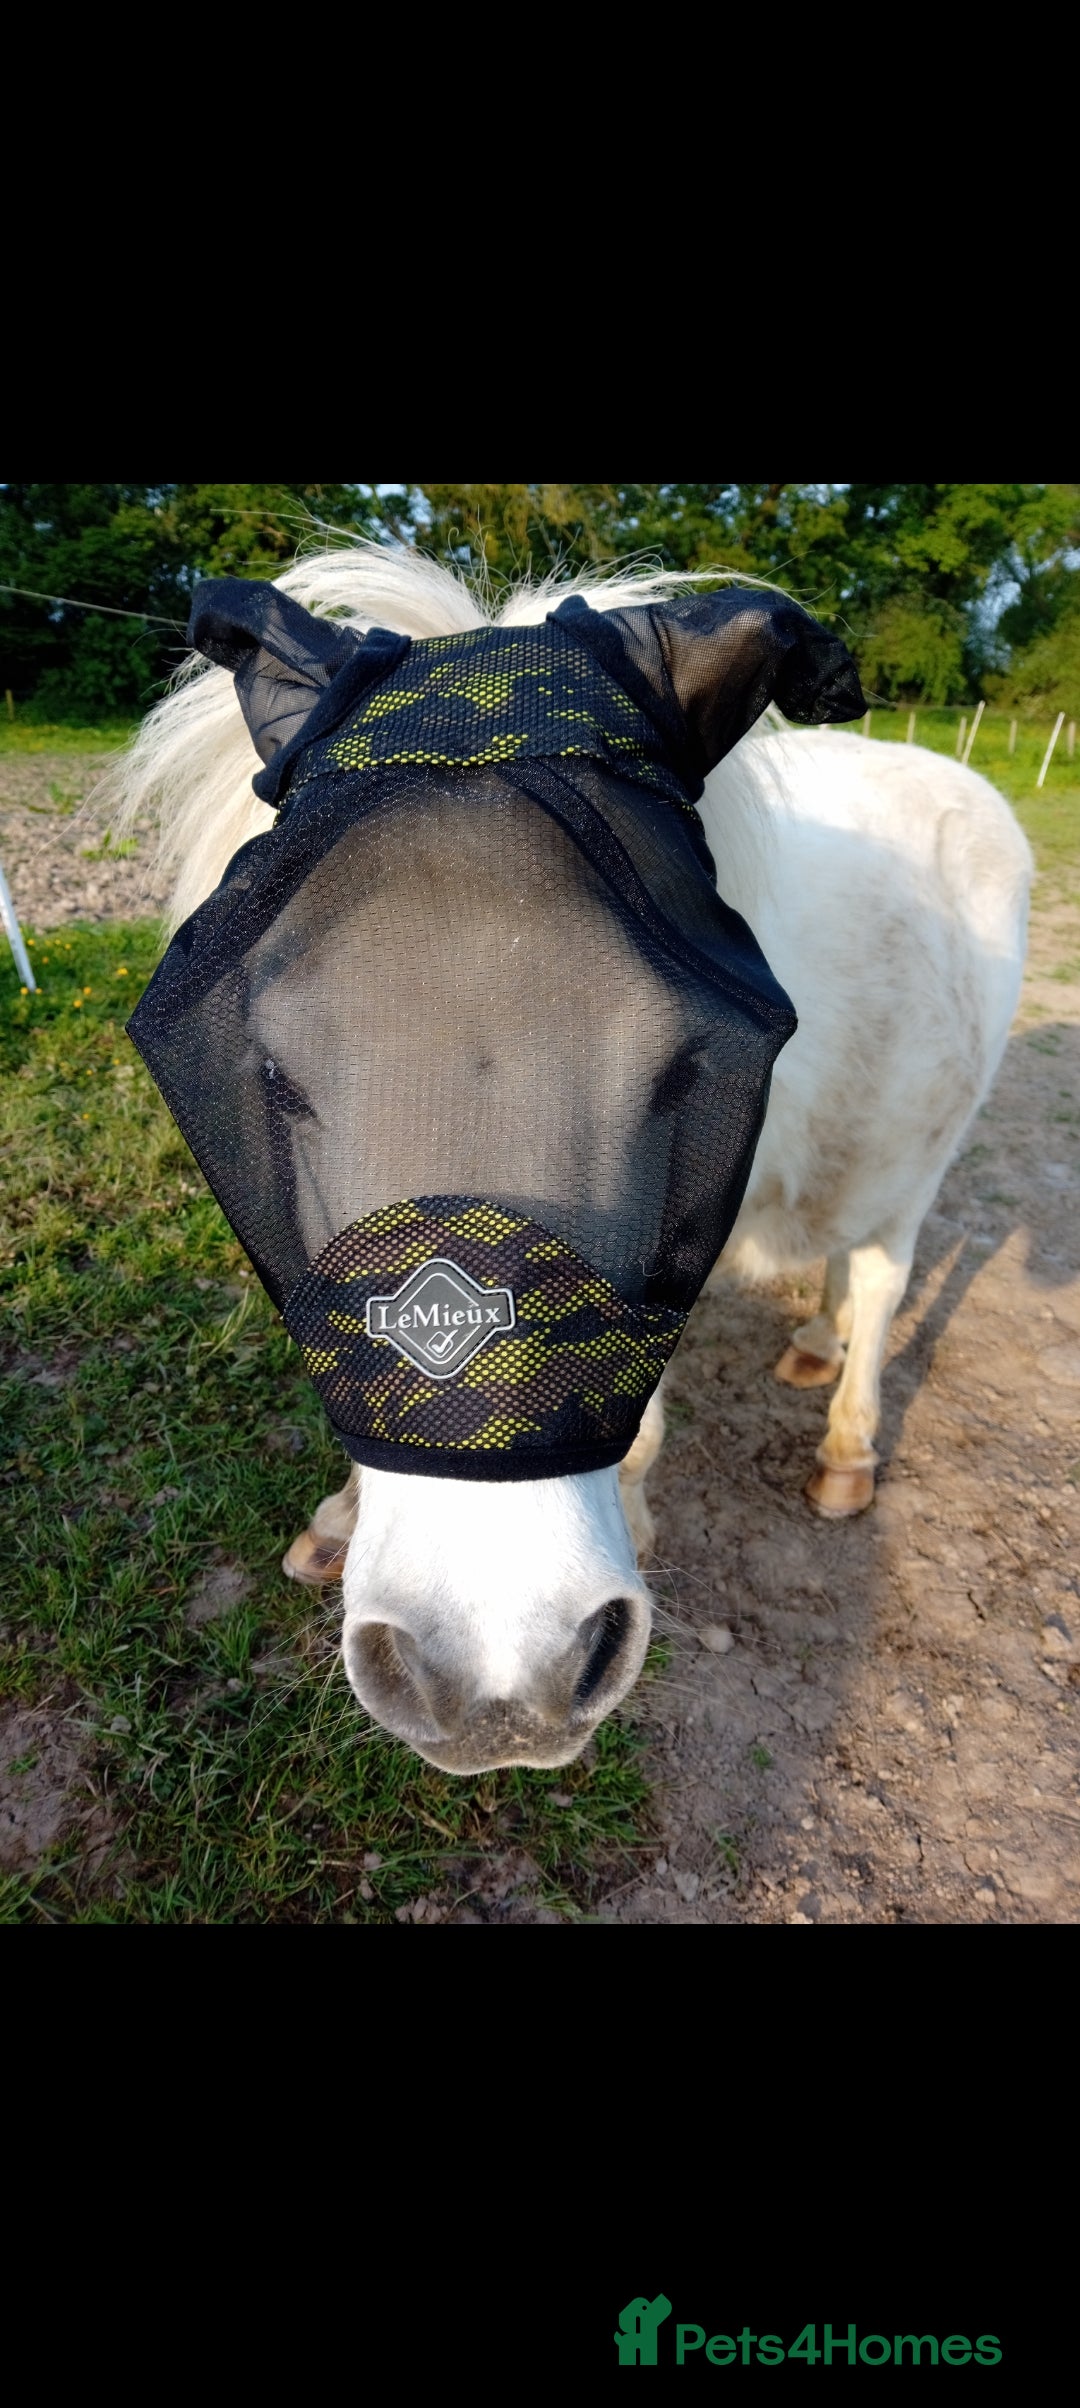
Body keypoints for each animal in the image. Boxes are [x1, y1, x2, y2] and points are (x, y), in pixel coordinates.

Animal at [109, 543, 1033, 1775]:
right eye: (273, 1076)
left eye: (685, 1070)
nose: (500, 1675)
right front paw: (342, 1518)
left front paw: (632, 1498)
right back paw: (813, 1343)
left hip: (922, 1155)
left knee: (884, 1272)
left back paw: (846, 1443)